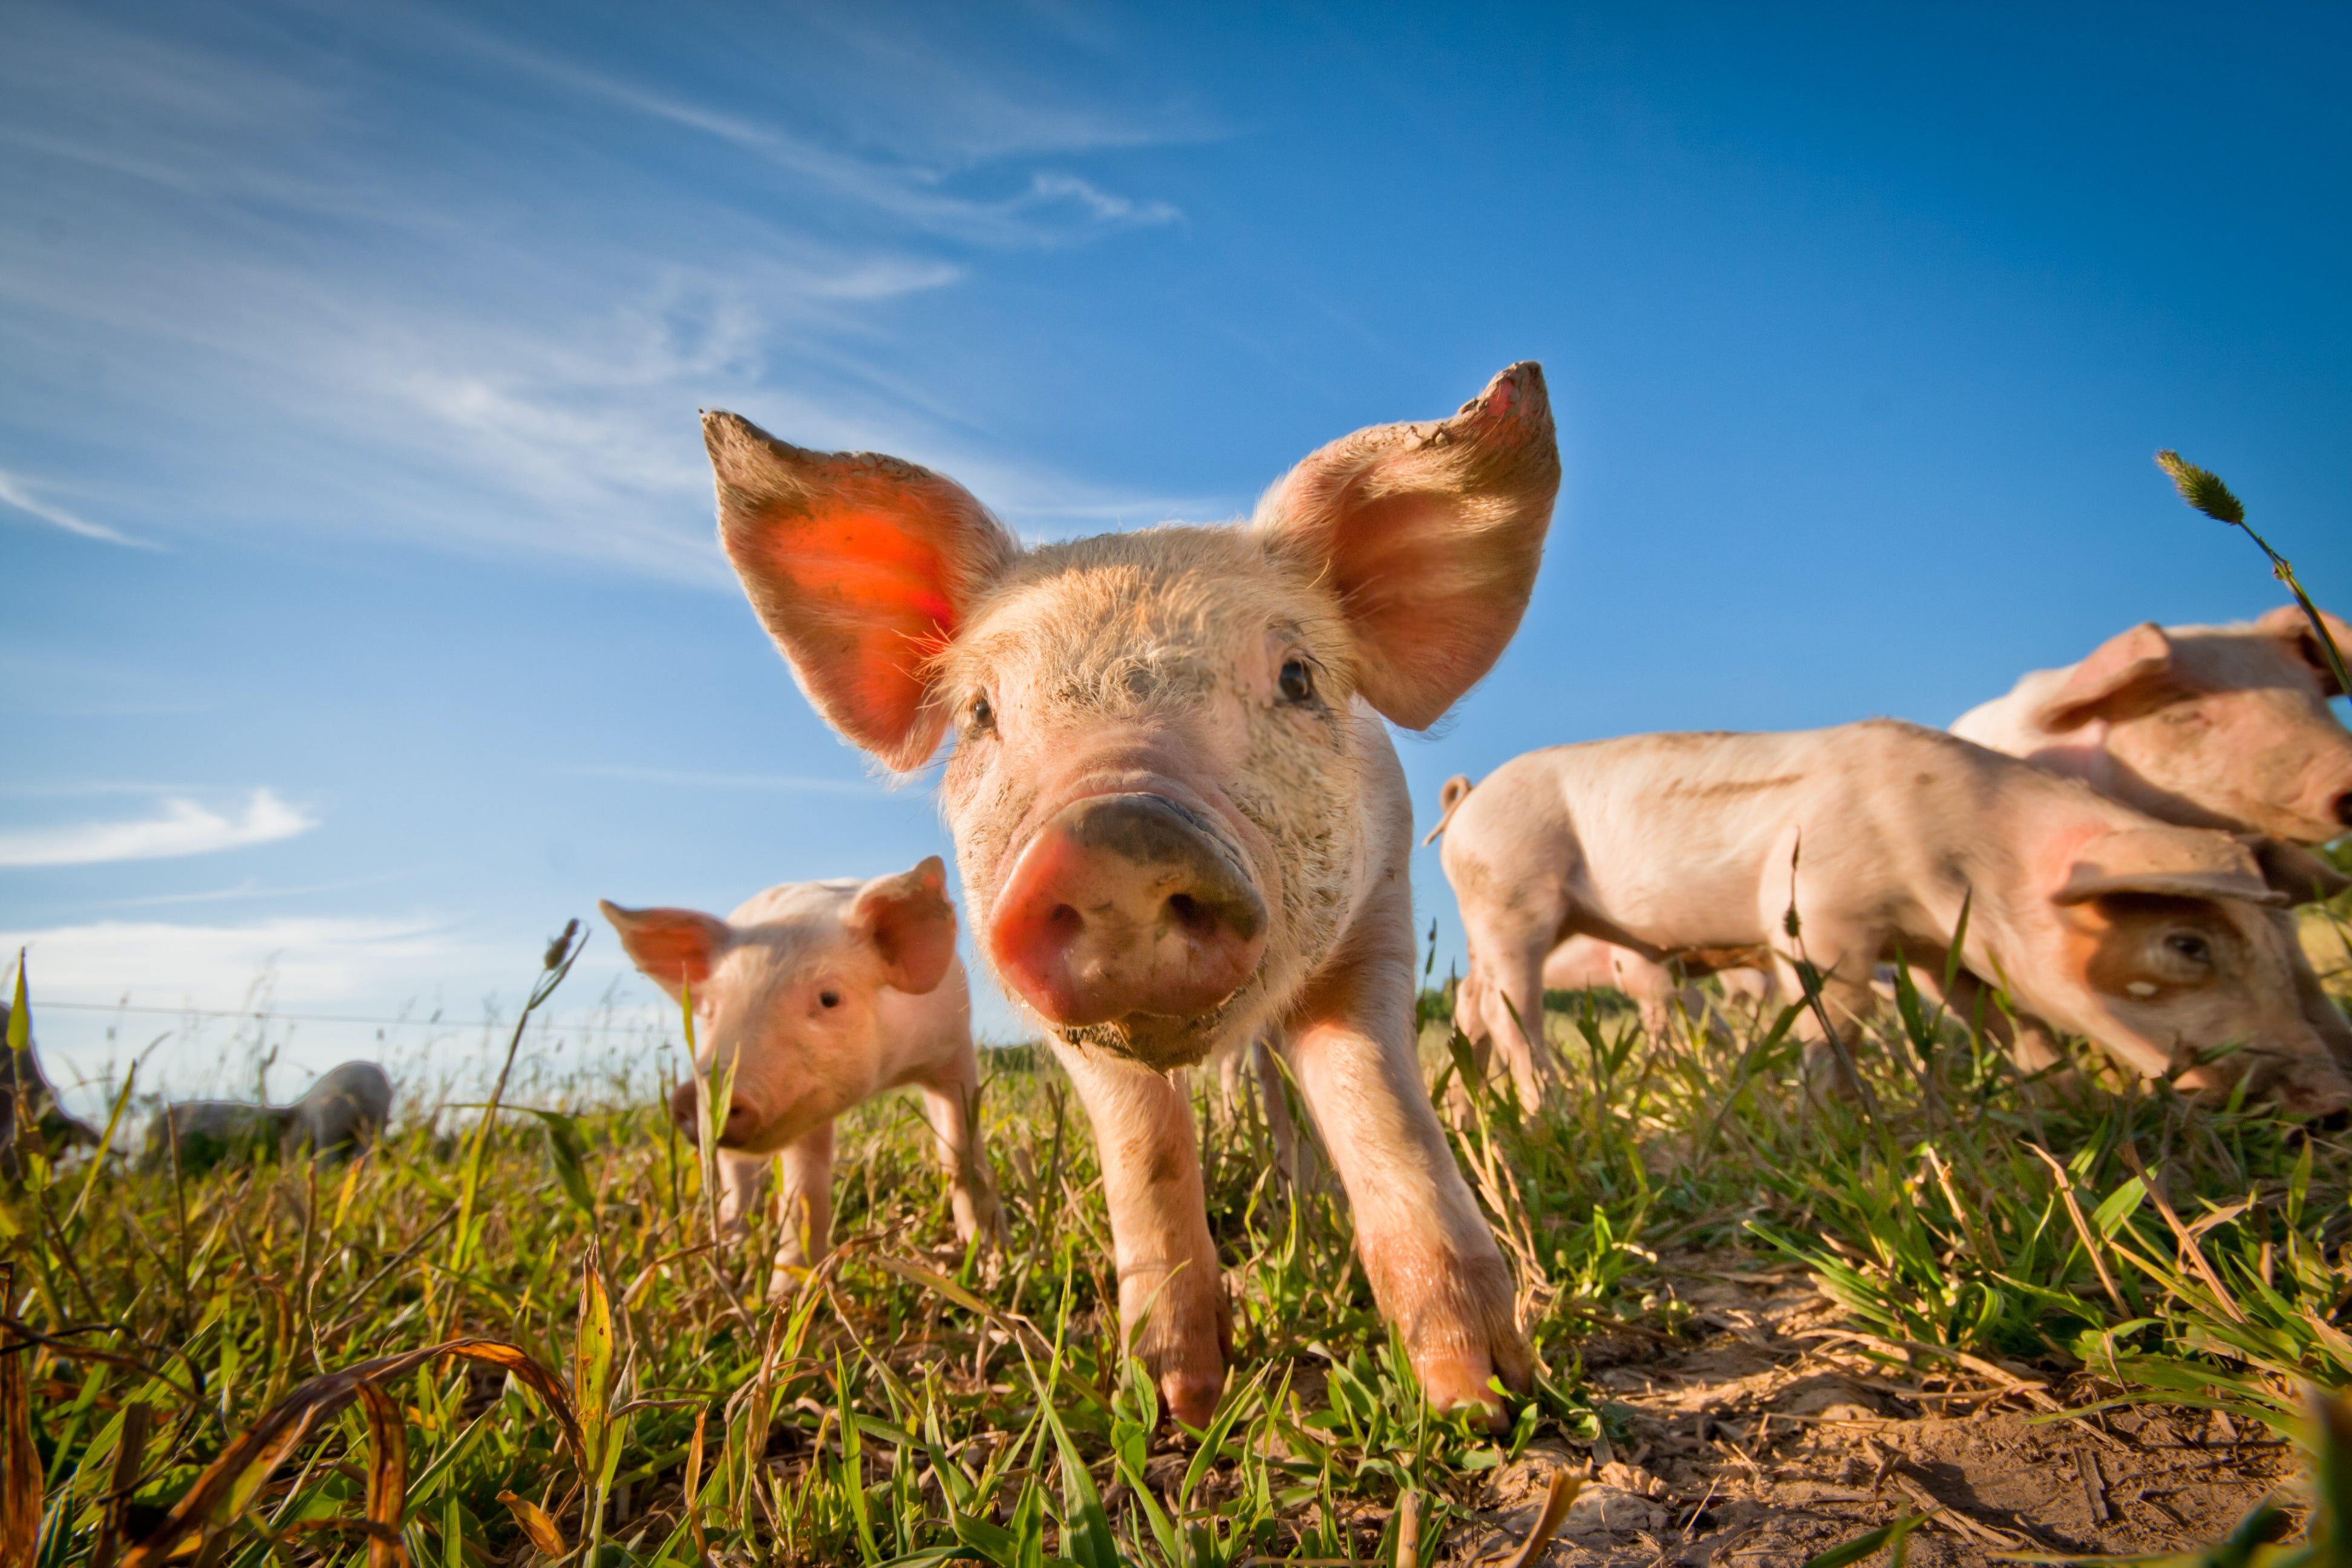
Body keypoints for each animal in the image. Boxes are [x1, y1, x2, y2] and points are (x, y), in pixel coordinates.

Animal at [597, 865, 1002, 1298]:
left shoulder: (954, 1049)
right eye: (710, 1011)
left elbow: (962, 1153)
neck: (887, 1073)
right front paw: (785, 1295)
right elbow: (804, 1188)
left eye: (830, 998)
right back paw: (734, 1244)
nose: (702, 1093)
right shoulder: (804, 1109)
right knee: (737, 1177)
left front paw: (991, 1259)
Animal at [705, 364, 1571, 1420]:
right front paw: (1176, 1402)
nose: (1111, 835)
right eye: (981, 712)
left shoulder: (1380, 912)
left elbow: (1378, 1104)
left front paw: (1484, 1398)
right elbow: (1145, 1149)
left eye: (1297, 676)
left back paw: (1305, 1204)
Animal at [1429, 719, 2352, 1109]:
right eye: (2184, 943)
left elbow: (2003, 1019)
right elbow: (1836, 1017)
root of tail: (1472, 797)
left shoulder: (1937, 950)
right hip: (1511, 895)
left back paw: (1481, 1101)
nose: (2332, 1098)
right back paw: (1545, 1109)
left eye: (2281, 951)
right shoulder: (1816, 915)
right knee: (1514, 1010)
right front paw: (1830, 1117)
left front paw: (2058, 1097)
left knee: (1473, 1005)